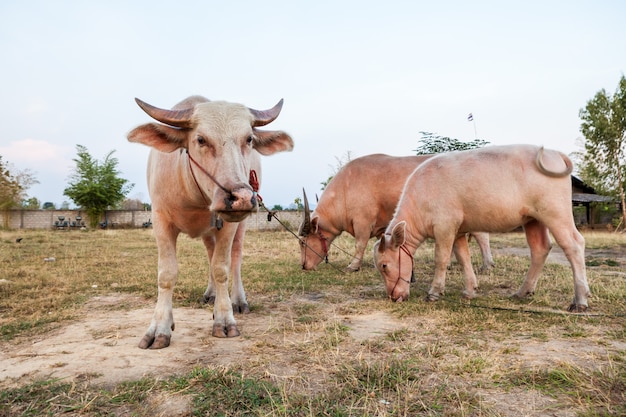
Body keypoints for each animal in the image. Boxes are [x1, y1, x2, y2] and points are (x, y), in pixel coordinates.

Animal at [128, 95, 294, 348]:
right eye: (200, 139)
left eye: (249, 139)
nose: (242, 198)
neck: (193, 195)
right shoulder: (160, 220)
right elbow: (166, 274)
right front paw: (160, 328)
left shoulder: (230, 224)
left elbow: (221, 269)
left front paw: (224, 319)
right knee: (209, 252)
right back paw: (211, 294)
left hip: (240, 225)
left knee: (235, 257)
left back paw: (237, 300)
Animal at [298, 154, 492, 272]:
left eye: (302, 242)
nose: (304, 266)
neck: (346, 188)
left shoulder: (363, 222)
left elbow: (359, 244)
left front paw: (353, 265)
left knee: (481, 235)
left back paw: (487, 264)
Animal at [372, 145, 588, 310]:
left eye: (384, 266)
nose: (393, 296)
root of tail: (554, 153)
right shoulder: (458, 230)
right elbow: (463, 258)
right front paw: (470, 290)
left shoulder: (445, 226)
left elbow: (441, 259)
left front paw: (434, 292)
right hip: (533, 219)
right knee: (540, 249)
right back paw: (522, 292)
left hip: (555, 212)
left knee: (574, 245)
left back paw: (580, 300)